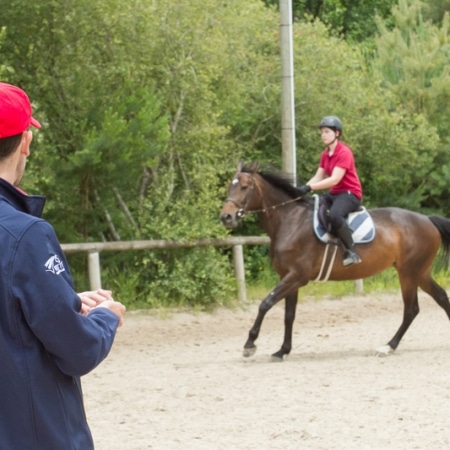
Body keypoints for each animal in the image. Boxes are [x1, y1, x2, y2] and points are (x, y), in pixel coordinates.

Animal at [220, 161, 450, 358]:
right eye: (230, 186)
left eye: (244, 187)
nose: (226, 217)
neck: (289, 220)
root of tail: (427, 220)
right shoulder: (289, 278)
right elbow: (289, 315)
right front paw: (283, 350)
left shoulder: (296, 276)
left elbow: (265, 304)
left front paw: (250, 344)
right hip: (420, 272)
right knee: (440, 297)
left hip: (409, 272)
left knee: (411, 309)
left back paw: (388, 346)